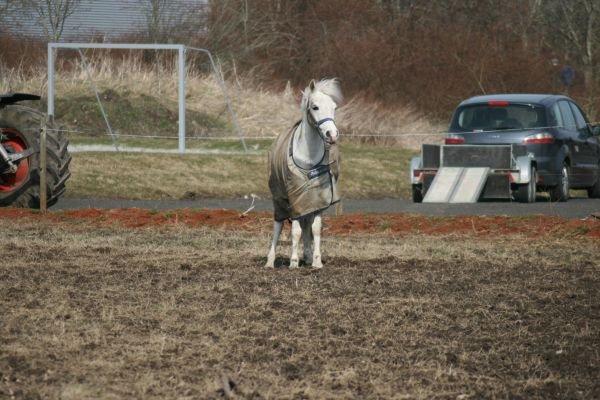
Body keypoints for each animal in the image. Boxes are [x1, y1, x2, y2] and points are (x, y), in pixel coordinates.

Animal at [264, 79, 342, 268]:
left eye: (334, 107)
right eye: (315, 107)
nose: (332, 134)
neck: (308, 160)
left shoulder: (317, 200)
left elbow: (315, 229)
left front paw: (316, 261)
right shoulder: (294, 200)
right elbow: (295, 231)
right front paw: (293, 262)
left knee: (307, 226)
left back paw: (306, 256)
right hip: (279, 199)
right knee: (278, 225)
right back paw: (270, 261)